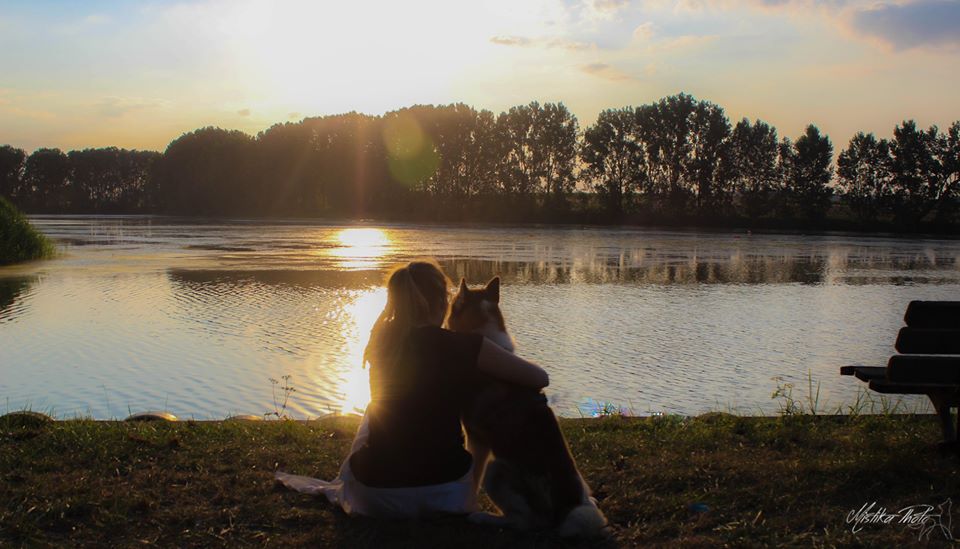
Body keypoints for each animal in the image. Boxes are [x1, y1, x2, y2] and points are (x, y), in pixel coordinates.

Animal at [444, 274, 608, 536]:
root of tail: (567, 505)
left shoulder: (477, 441)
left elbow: (473, 478)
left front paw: (469, 507)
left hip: (496, 469)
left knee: (525, 522)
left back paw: (486, 517)